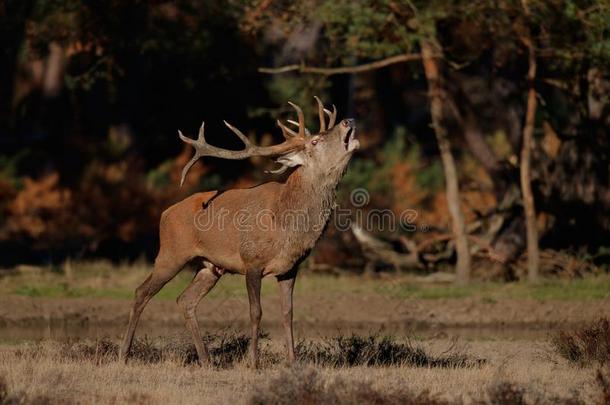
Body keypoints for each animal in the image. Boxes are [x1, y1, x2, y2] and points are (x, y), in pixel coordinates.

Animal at [119, 98, 356, 366]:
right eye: (315, 141)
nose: (348, 120)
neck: (285, 222)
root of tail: (164, 214)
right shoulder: (251, 261)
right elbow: (256, 312)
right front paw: (253, 362)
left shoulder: (290, 267)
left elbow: (288, 313)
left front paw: (292, 361)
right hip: (170, 253)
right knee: (142, 292)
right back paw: (123, 354)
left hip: (209, 266)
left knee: (185, 300)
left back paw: (206, 360)